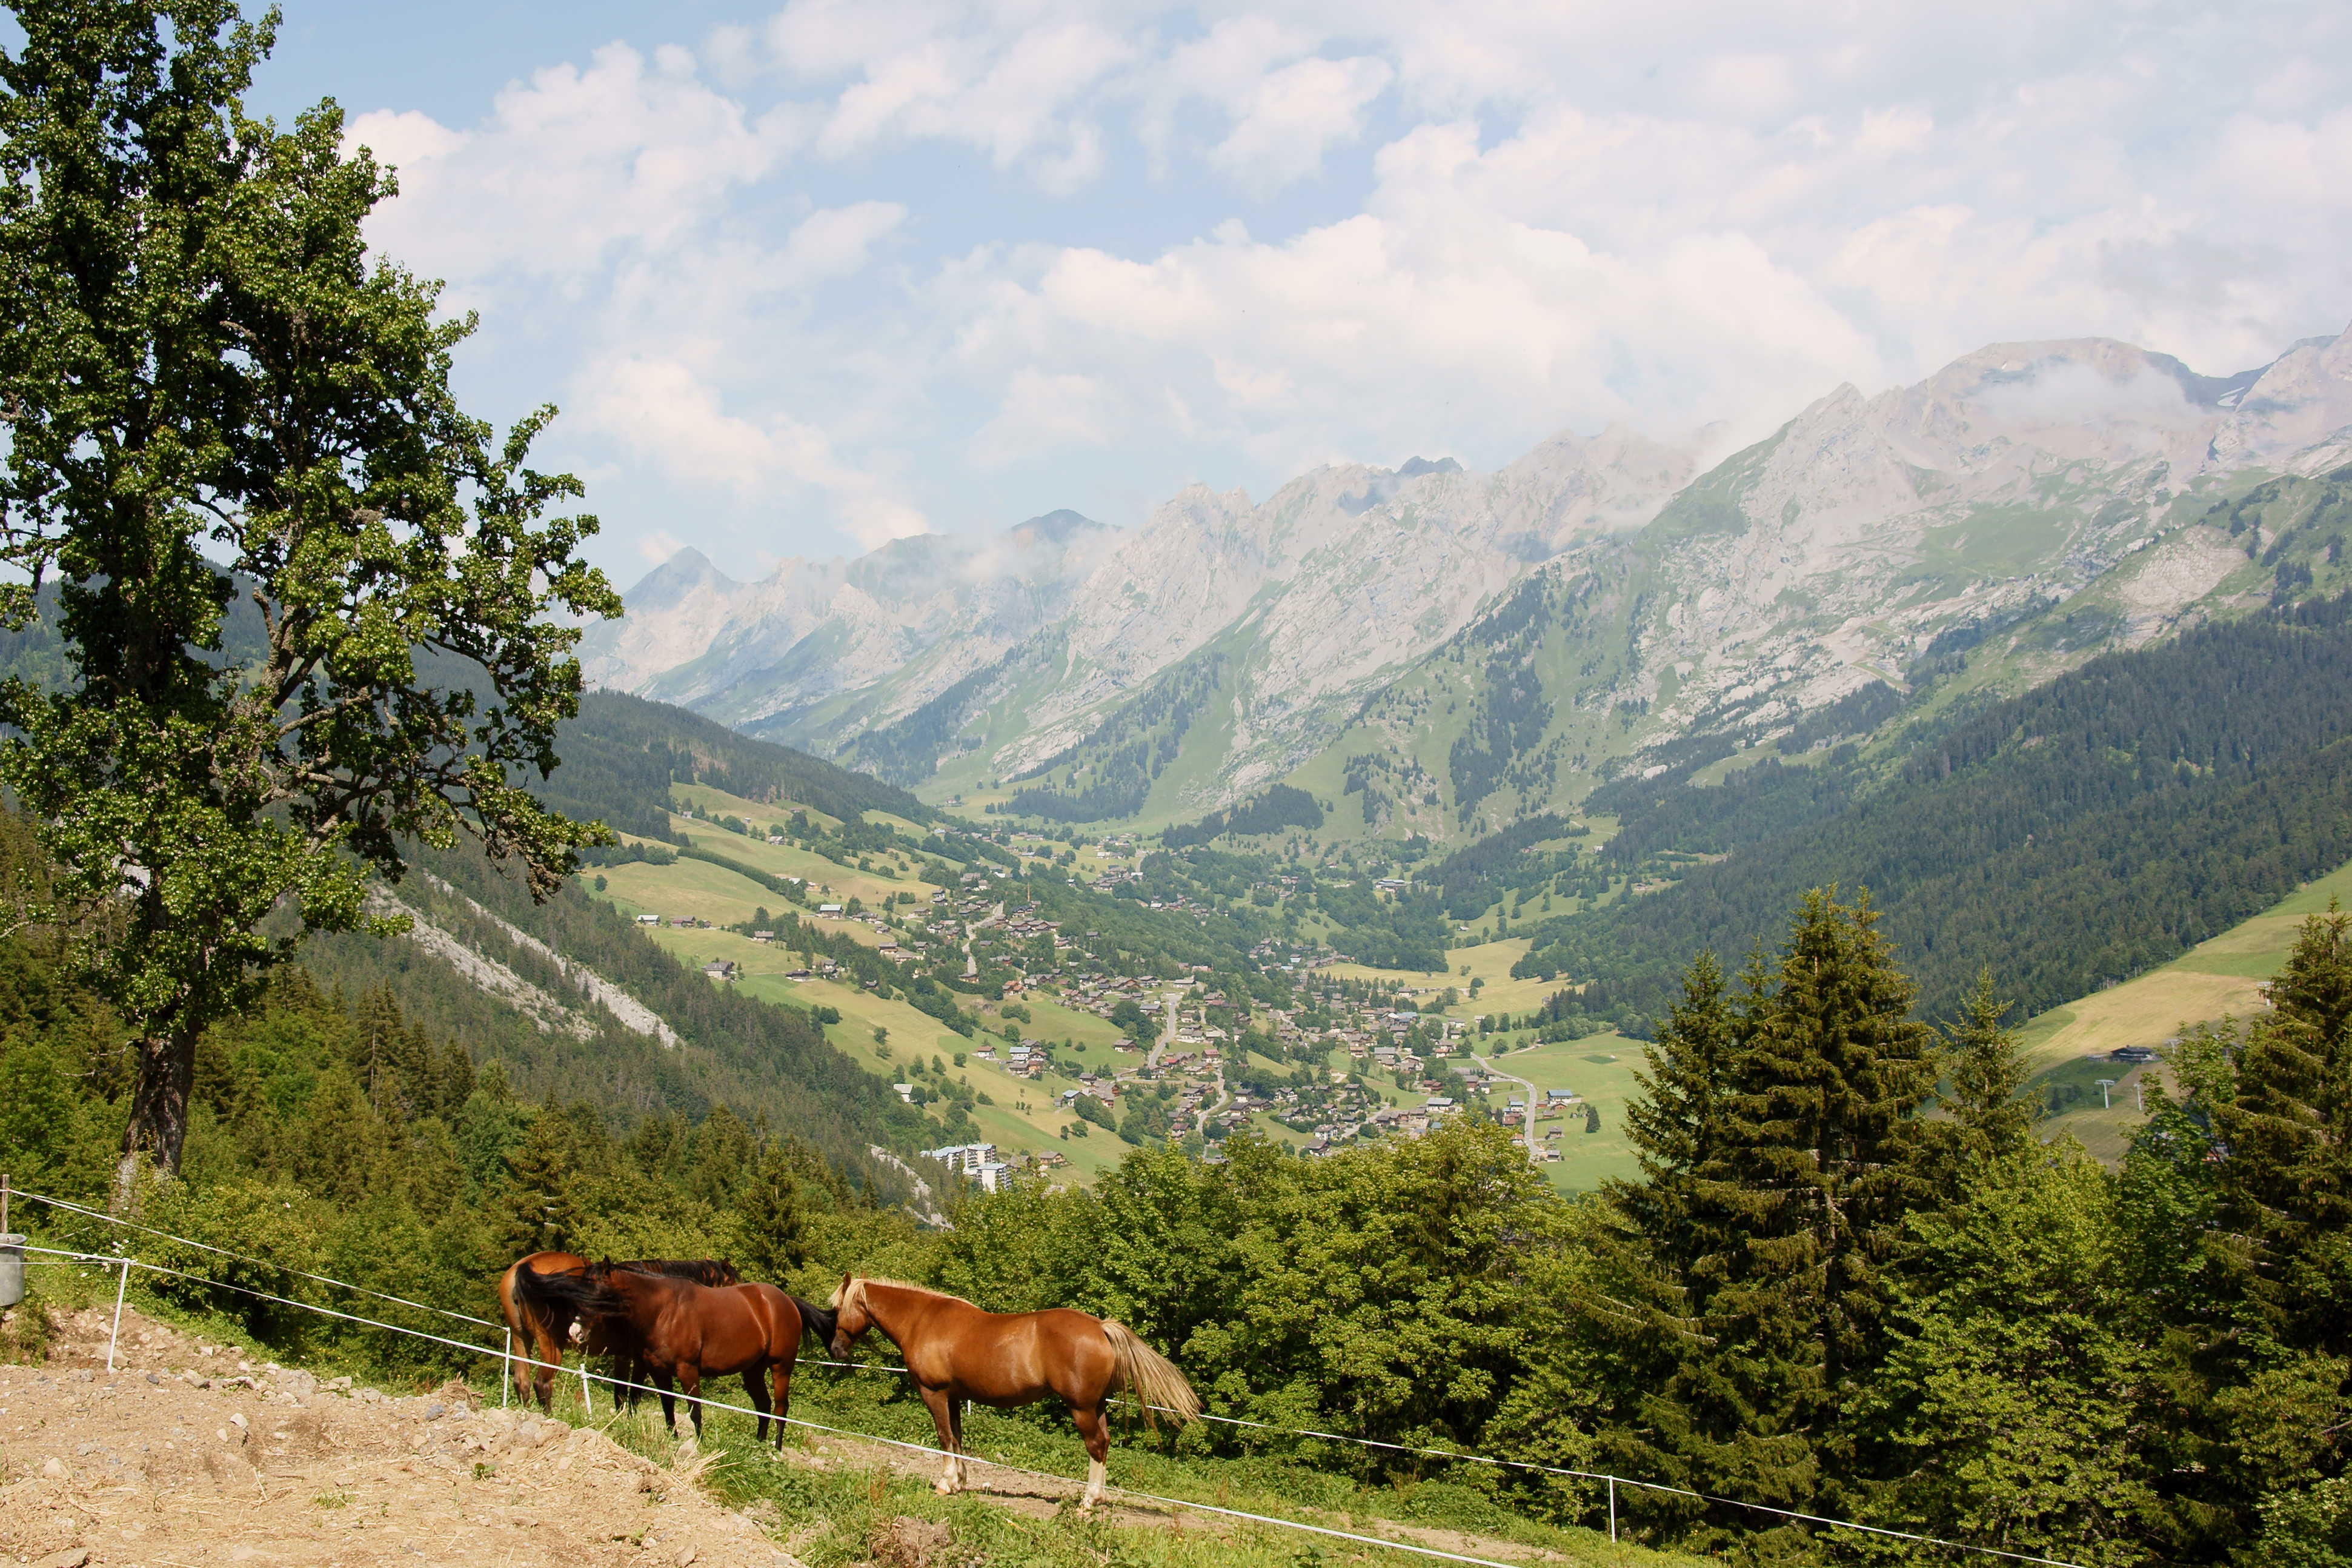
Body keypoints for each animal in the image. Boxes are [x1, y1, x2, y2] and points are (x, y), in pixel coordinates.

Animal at [500, 1260, 738, 1420]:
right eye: (732, 1282)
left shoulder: (622, 1356)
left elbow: (621, 1395)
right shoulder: (640, 1360)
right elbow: (632, 1395)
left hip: (521, 1340)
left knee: (522, 1382)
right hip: (551, 1346)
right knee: (542, 1384)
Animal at [828, 1278, 1195, 1504]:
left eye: (839, 1309)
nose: (835, 1349)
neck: (923, 1320)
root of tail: (1100, 1327)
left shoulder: (935, 1393)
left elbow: (944, 1438)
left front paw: (946, 1484)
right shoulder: (955, 1397)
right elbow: (958, 1439)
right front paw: (961, 1482)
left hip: (1081, 1408)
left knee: (1095, 1445)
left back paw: (1088, 1503)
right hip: (1096, 1405)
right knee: (1103, 1444)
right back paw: (1098, 1498)